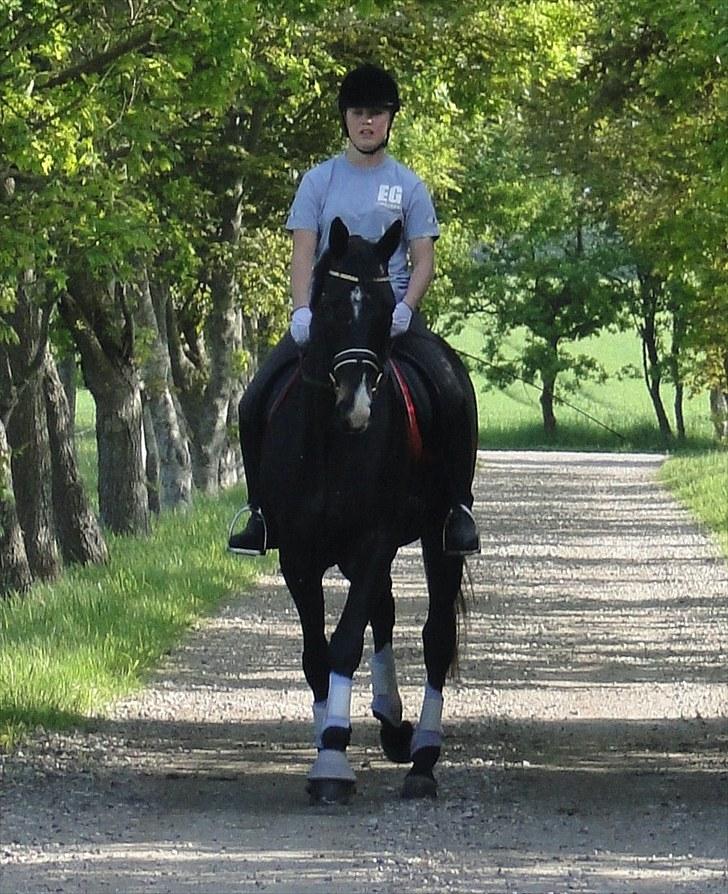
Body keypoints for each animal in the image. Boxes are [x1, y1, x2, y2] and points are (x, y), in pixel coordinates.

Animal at [256, 217, 478, 804]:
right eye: (331, 307)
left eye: (384, 308)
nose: (356, 405)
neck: (330, 447)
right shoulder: (299, 555)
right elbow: (316, 653)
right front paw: (326, 742)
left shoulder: (375, 540)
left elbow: (344, 644)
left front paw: (333, 758)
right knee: (386, 609)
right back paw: (391, 720)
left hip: (440, 537)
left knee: (435, 636)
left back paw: (422, 756)